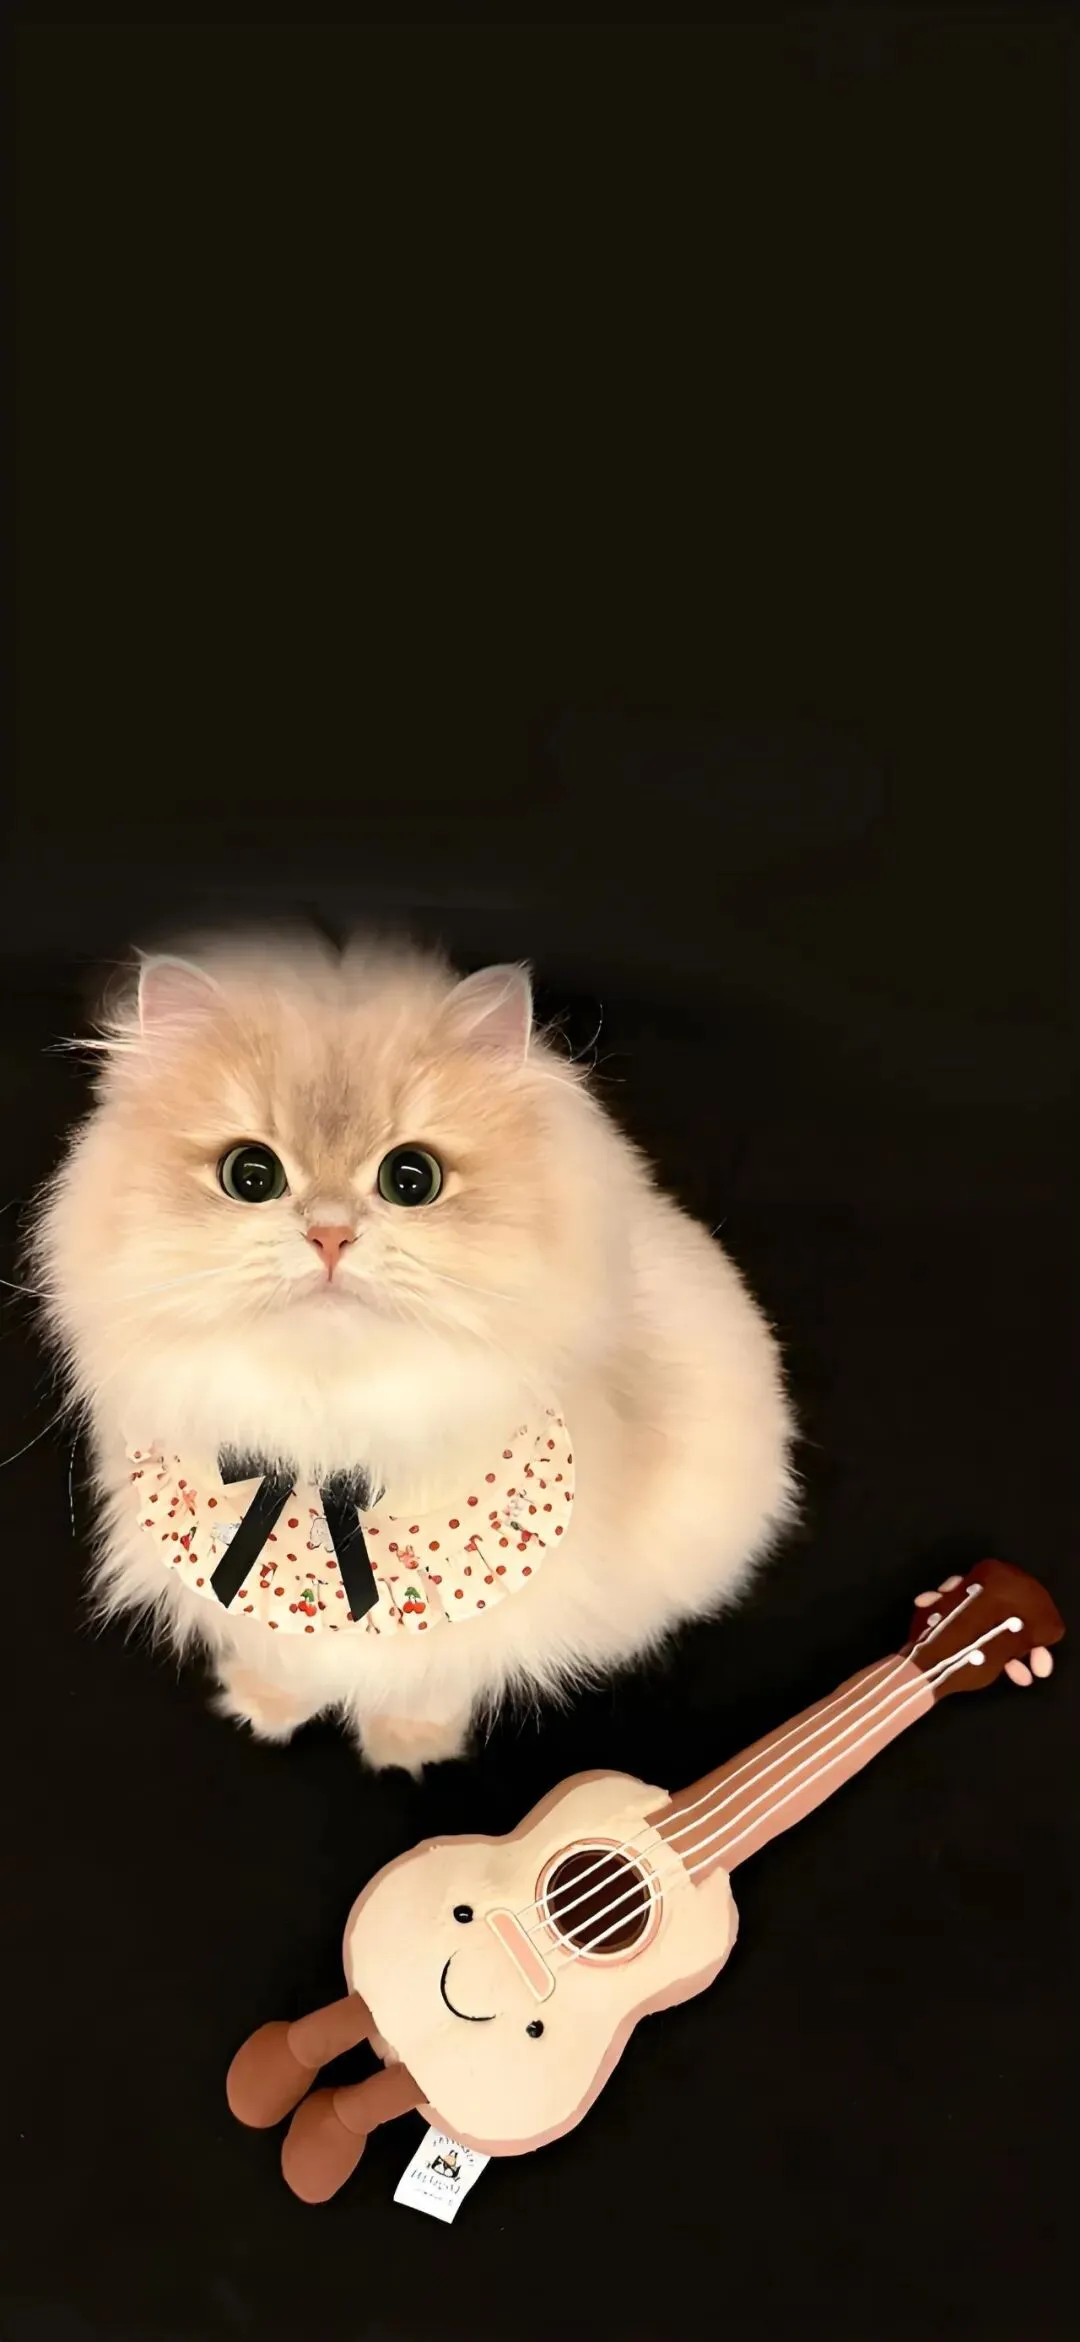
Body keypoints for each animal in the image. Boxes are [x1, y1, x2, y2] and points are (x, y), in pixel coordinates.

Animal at [33, 936, 796, 1772]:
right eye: (250, 1175)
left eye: (411, 1179)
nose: (330, 1235)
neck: (328, 1432)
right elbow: (288, 1658)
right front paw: (265, 1707)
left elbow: (430, 1677)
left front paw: (405, 1745)